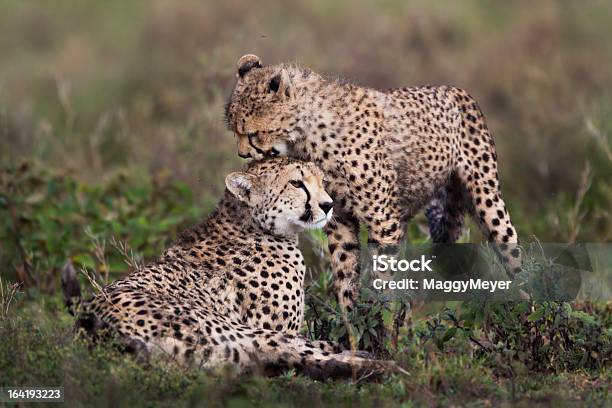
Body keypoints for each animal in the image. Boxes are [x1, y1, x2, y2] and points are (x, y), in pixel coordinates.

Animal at [64, 159, 392, 380]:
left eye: (322, 180)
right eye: (296, 183)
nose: (328, 205)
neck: (250, 224)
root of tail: (92, 330)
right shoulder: (273, 326)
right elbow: (311, 342)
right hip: (234, 331)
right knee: (284, 352)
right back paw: (382, 365)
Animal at [225, 53, 520, 310]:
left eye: (250, 133)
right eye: (234, 132)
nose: (242, 154)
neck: (307, 134)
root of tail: (453, 88)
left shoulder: (383, 221)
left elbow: (382, 280)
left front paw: (382, 326)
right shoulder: (338, 218)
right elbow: (345, 274)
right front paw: (352, 324)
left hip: (487, 199)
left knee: (511, 253)